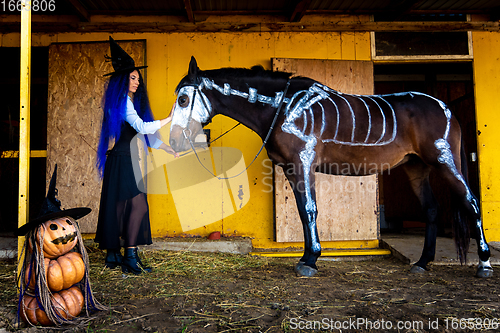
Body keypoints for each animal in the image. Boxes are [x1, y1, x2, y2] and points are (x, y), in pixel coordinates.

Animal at [167, 57, 492, 278]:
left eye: (183, 99)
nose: (173, 140)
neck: (283, 106)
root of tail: (446, 108)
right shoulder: (291, 169)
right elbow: (302, 211)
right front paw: (307, 257)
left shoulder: (303, 163)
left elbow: (310, 210)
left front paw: (310, 261)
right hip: (417, 168)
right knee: (432, 210)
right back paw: (423, 263)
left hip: (444, 161)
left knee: (471, 203)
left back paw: (485, 263)